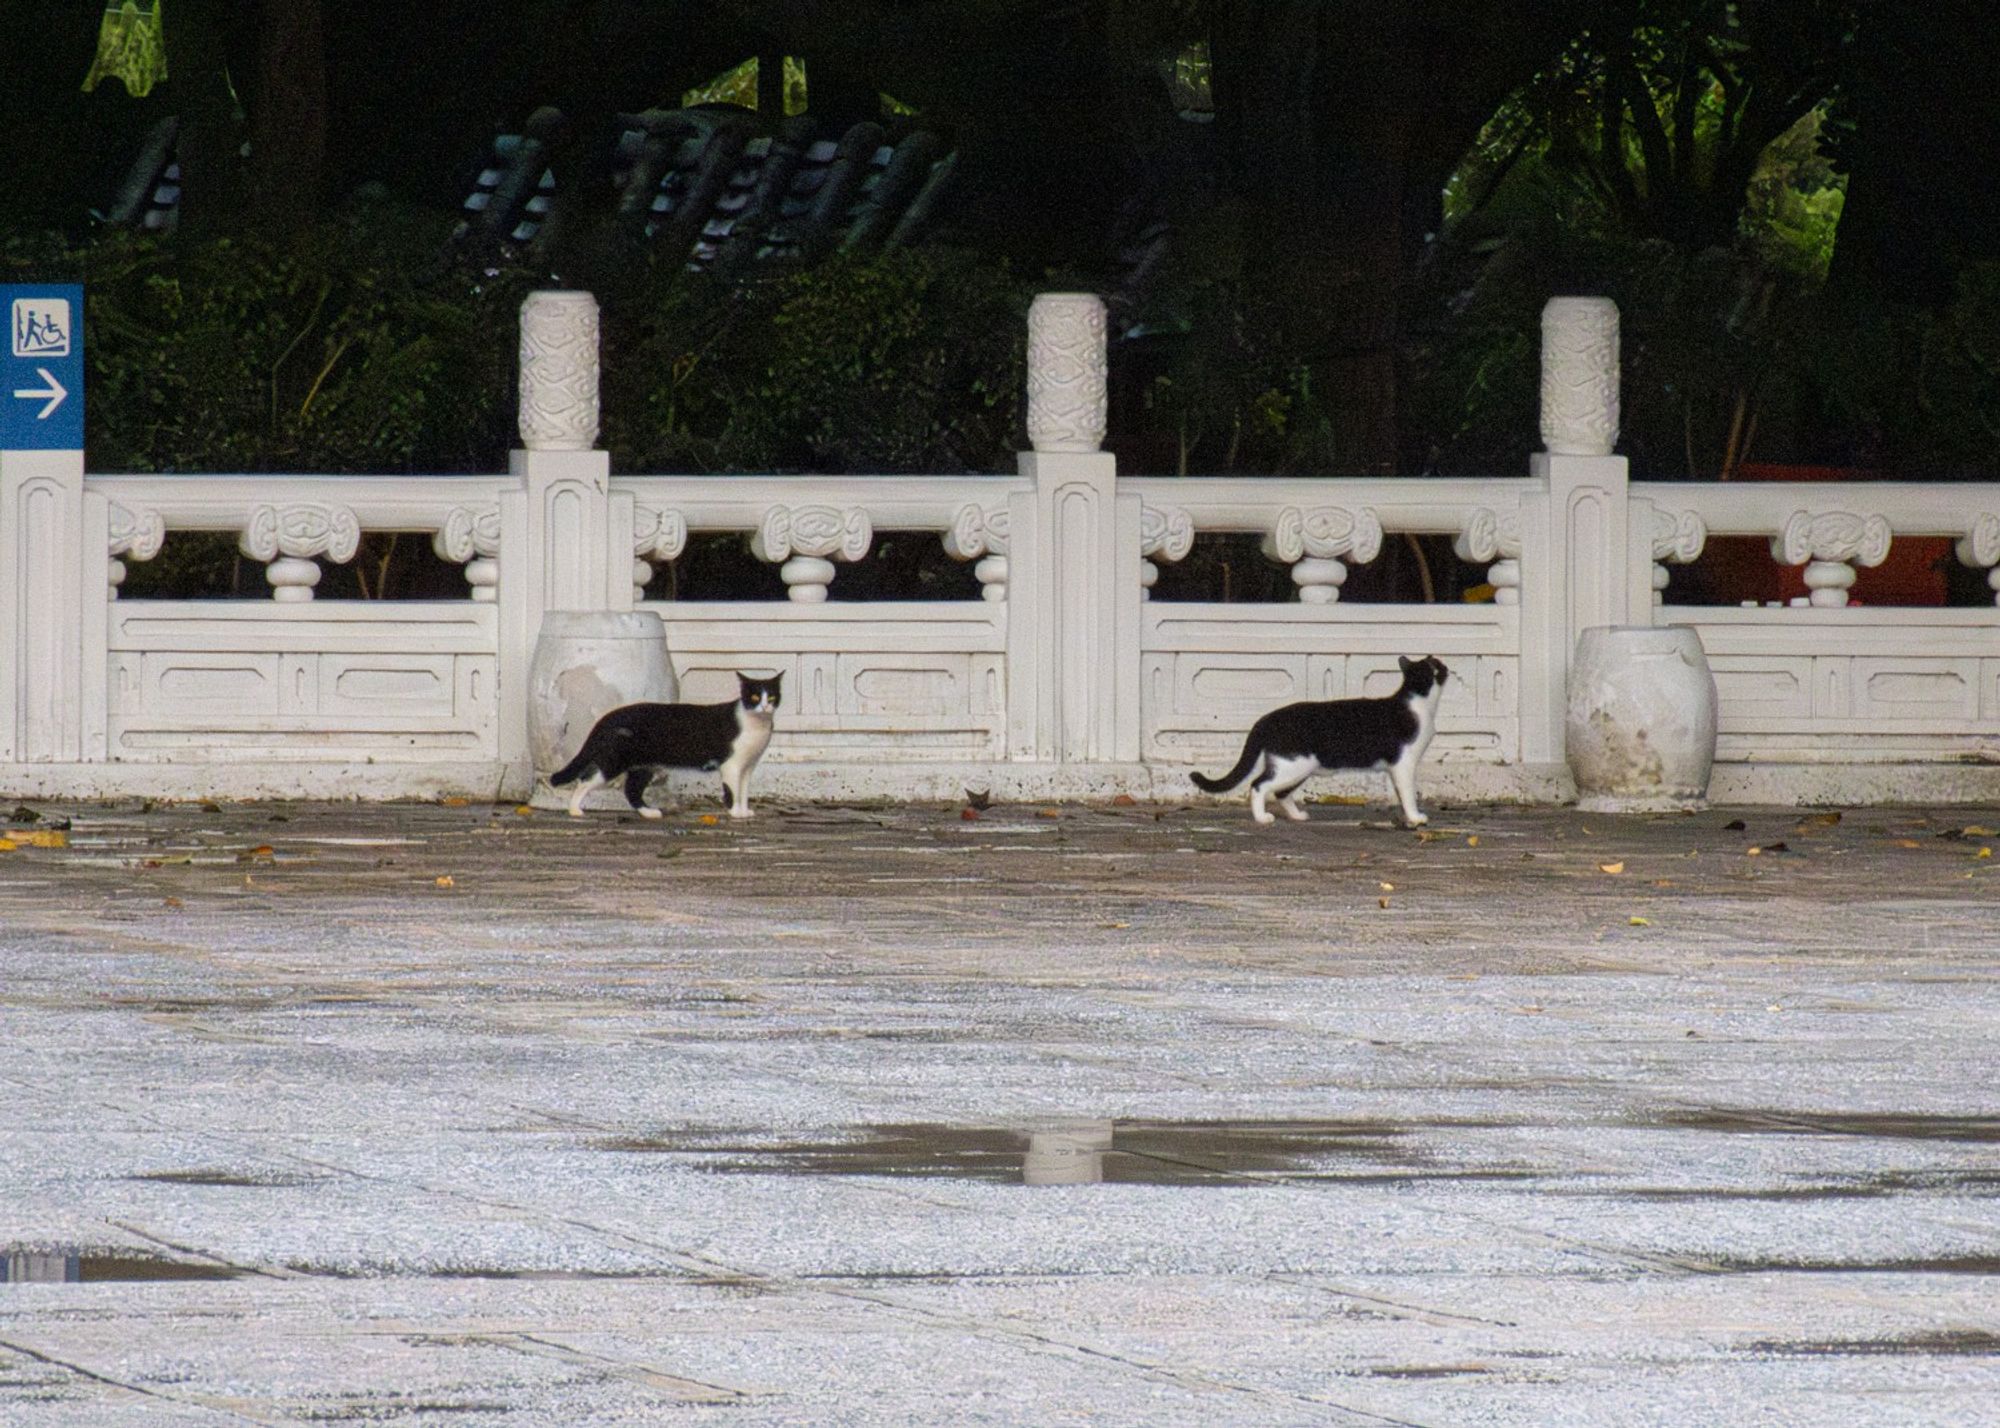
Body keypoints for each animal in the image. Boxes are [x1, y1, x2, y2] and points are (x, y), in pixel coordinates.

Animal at [548, 672, 780, 816]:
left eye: (772, 697)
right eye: (754, 697)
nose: (764, 707)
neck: (757, 725)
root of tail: (609, 716)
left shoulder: (749, 766)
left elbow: (744, 790)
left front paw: (744, 811)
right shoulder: (732, 765)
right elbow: (733, 791)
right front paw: (735, 813)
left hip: (643, 765)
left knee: (632, 790)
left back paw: (650, 813)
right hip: (614, 761)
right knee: (585, 780)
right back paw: (574, 810)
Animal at [1184, 652, 1456, 824]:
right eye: (1437, 665)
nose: (1444, 663)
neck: (1419, 702)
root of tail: (1266, 719)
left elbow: (1401, 794)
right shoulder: (1403, 763)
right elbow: (1408, 793)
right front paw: (1415, 817)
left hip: (1298, 767)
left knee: (1280, 793)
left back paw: (1296, 816)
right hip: (1293, 765)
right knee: (1258, 785)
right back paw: (1262, 818)